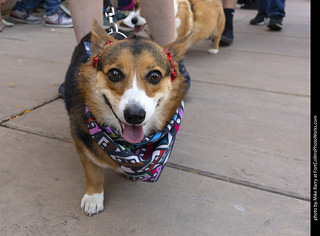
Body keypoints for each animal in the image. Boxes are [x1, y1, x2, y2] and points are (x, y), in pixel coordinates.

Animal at [63, 19, 191, 216]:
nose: (135, 116)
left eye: (155, 75)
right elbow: (93, 173)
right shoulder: (81, 142)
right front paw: (93, 197)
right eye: (114, 73)